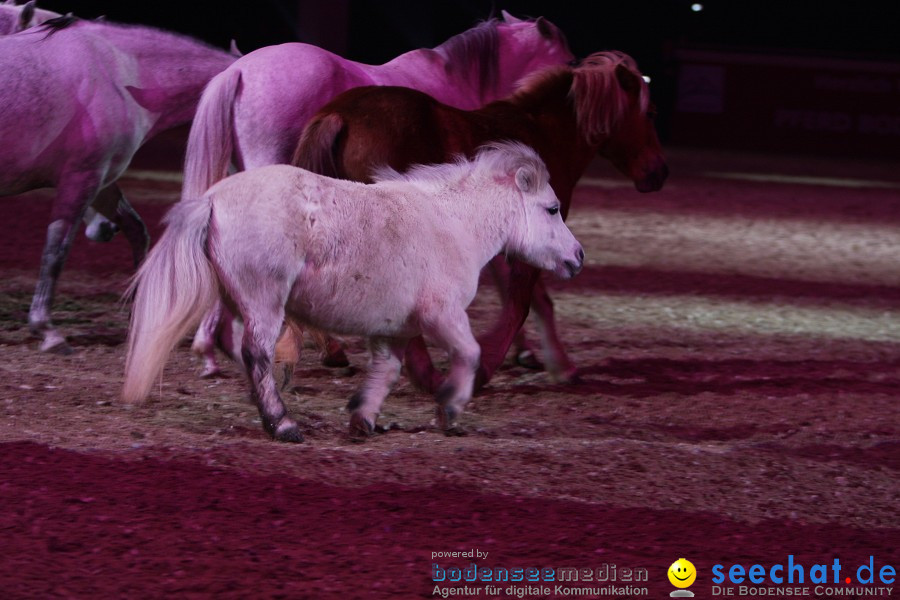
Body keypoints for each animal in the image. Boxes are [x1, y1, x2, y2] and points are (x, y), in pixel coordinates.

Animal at [121, 141, 584, 440]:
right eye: (552, 209)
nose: (577, 256)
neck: (453, 222)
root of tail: (213, 199)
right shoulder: (443, 315)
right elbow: (469, 354)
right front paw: (450, 408)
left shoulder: (395, 330)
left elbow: (386, 372)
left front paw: (363, 418)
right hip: (265, 301)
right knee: (256, 353)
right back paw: (283, 424)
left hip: (239, 302)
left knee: (240, 350)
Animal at [292, 52, 664, 394]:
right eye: (648, 113)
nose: (660, 172)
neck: (542, 133)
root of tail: (339, 114)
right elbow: (520, 303)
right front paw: (486, 366)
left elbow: (534, 301)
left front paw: (556, 364)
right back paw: (424, 374)